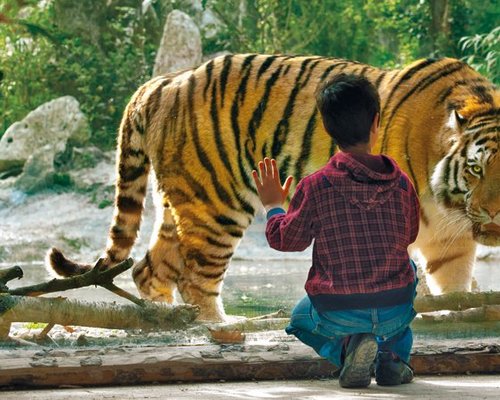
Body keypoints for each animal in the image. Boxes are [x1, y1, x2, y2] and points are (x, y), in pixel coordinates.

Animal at [47, 54, 500, 322]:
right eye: (476, 169)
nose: (494, 213)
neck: (450, 208)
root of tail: (166, 80)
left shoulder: (451, 245)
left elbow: (454, 288)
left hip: (180, 202)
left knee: (149, 267)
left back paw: (164, 318)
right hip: (216, 204)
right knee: (196, 277)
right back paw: (217, 326)